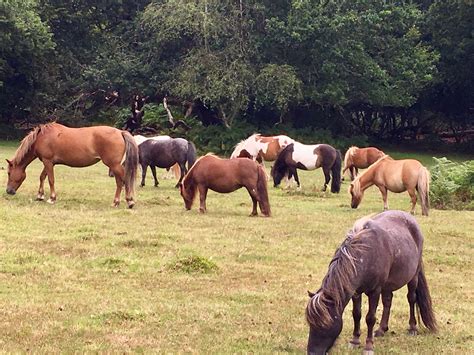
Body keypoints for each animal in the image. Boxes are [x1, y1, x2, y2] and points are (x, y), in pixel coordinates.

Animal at [6, 123, 138, 209]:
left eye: (8, 173)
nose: (9, 191)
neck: (41, 137)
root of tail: (120, 132)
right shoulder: (48, 162)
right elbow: (42, 177)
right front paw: (40, 196)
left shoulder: (48, 162)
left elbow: (50, 180)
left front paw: (52, 198)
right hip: (114, 166)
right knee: (120, 182)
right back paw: (117, 202)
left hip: (114, 165)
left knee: (123, 179)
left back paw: (128, 201)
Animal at [308, 211, 436, 355]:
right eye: (310, 323)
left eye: (325, 324)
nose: (312, 352)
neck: (364, 255)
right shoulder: (355, 292)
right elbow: (356, 314)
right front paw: (355, 341)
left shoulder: (375, 291)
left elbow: (370, 318)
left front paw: (368, 346)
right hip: (387, 285)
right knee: (387, 301)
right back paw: (381, 329)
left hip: (413, 277)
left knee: (411, 299)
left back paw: (413, 328)